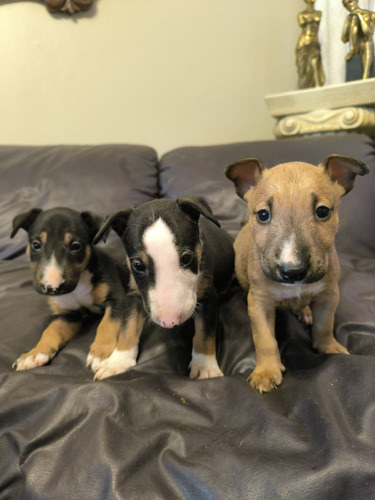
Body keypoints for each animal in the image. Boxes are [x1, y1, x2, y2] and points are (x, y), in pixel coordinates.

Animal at [94, 195, 235, 378]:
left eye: (186, 257)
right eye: (138, 266)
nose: (169, 322)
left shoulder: (208, 294)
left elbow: (205, 332)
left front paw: (205, 368)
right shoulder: (134, 295)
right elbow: (128, 326)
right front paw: (117, 362)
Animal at [226, 154, 370, 392]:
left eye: (322, 211)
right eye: (263, 214)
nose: (292, 272)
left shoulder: (328, 296)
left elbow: (325, 324)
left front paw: (329, 347)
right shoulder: (259, 303)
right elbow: (265, 340)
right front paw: (266, 372)